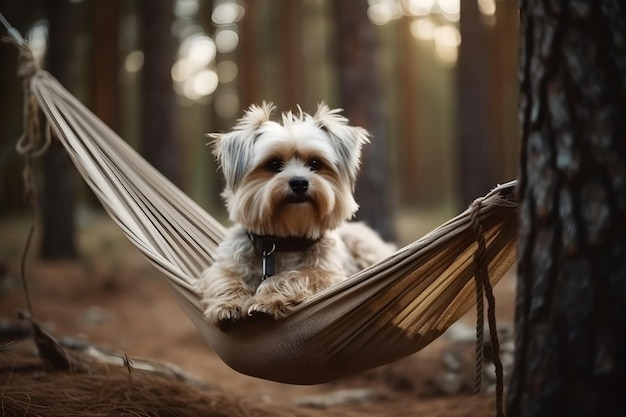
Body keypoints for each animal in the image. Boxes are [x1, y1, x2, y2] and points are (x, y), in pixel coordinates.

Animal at [193, 101, 392, 328]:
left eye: (315, 164)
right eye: (273, 164)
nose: (299, 182)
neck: (284, 240)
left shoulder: (327, 275)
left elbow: (296, 275)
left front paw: (266, 300)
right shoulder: (224, 267)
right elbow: (223, 277)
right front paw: (227, 304)